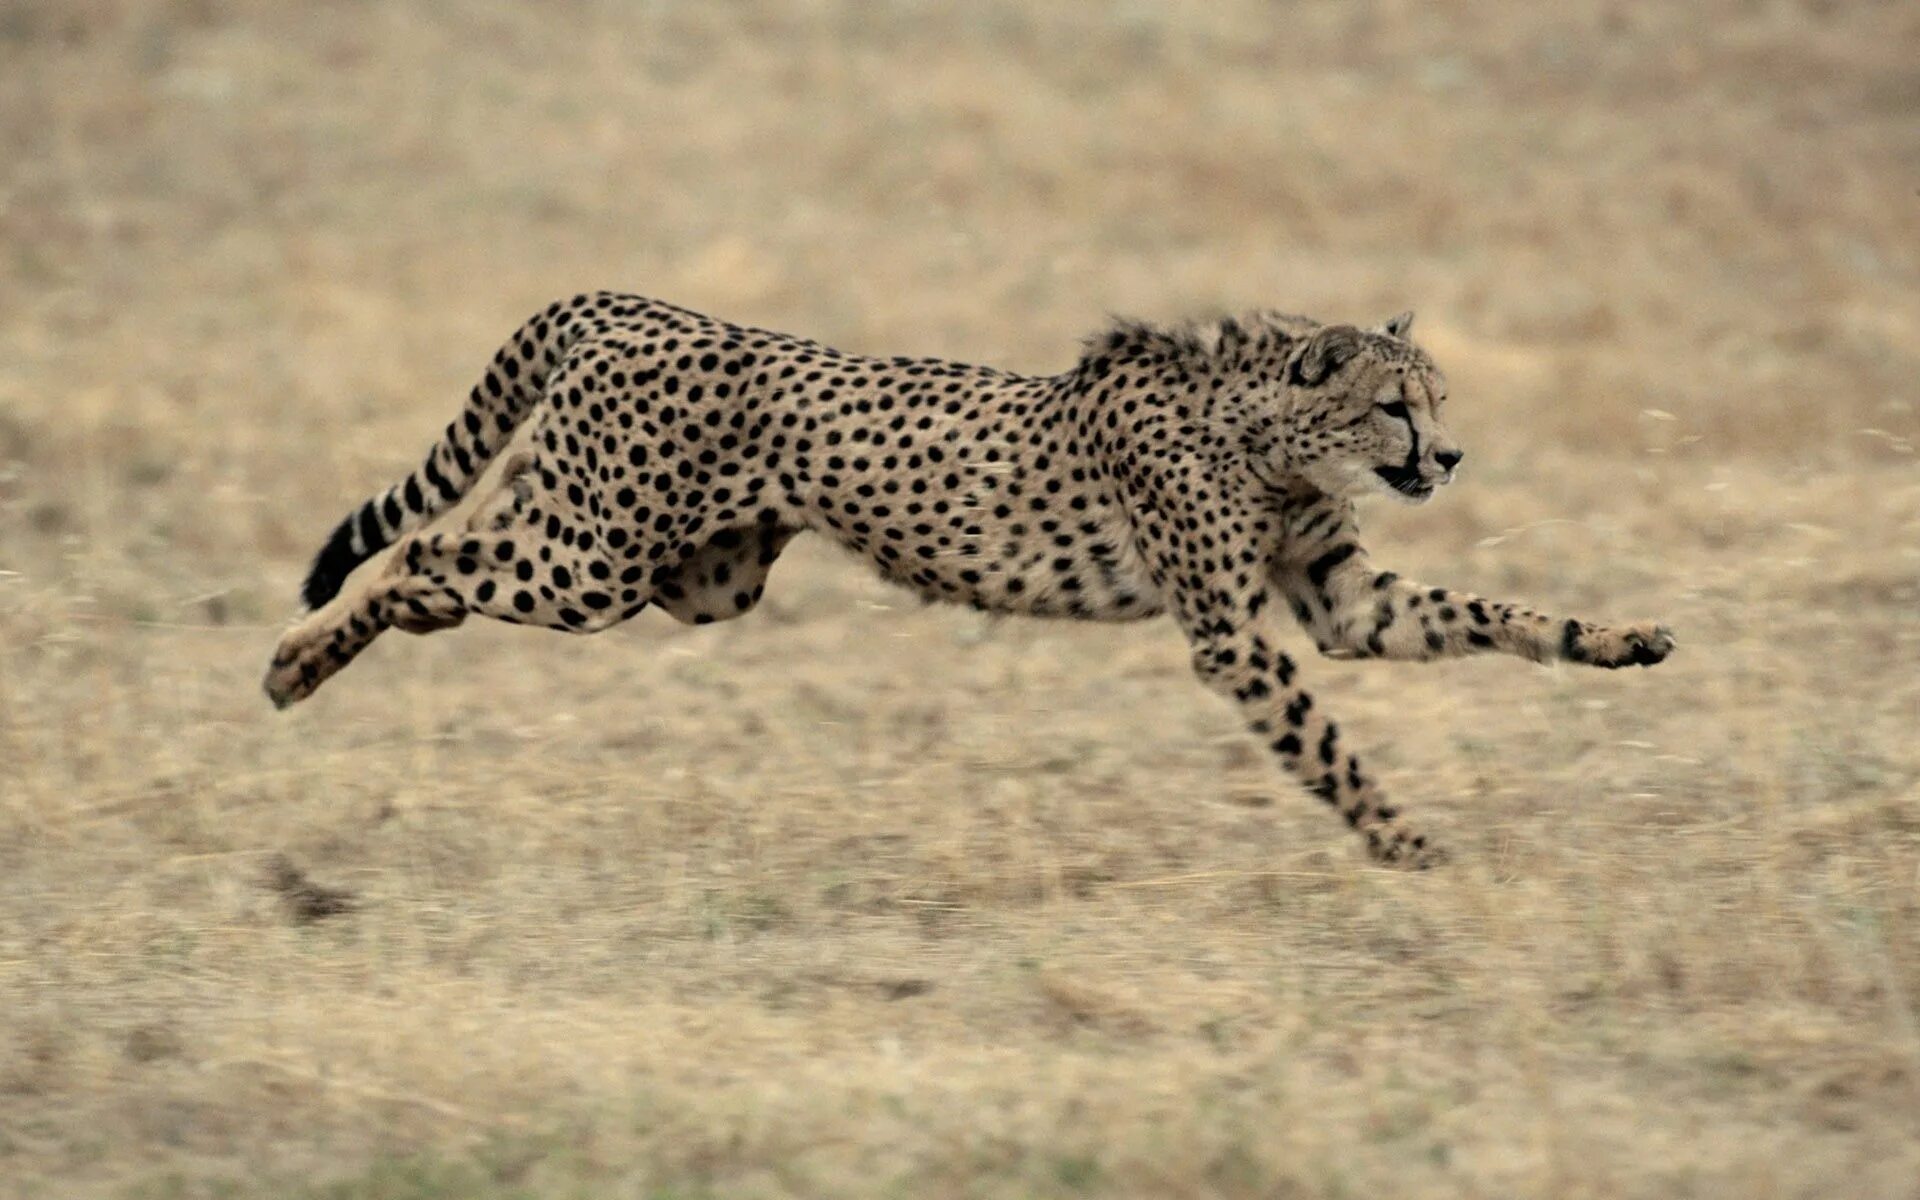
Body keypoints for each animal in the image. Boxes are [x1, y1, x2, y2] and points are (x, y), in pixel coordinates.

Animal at [263, 295, 1674, 864]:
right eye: (1395, 406)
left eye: (1437, 400)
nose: (1449, 456)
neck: (1261, 434)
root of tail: (639, 306)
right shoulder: (1234, 635)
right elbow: (1329, 748)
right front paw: (1404, 841)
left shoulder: (1342, 605)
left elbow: (1498, 616)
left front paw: (1622, 641)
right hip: (595, 559)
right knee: (422, 547)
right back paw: (292, 663)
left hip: (689, 575)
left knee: (453, 552)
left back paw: (338, 648)